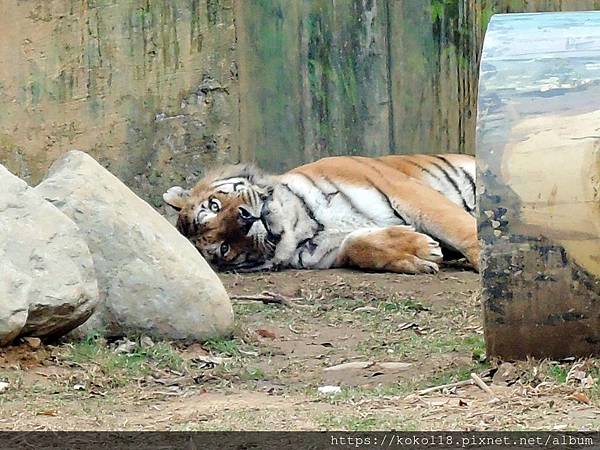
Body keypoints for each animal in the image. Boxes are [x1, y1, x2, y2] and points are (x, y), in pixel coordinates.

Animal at [163, 155, 478, 274]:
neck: (302, 223)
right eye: (224, 248)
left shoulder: (405, 190)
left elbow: (463, 230)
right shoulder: (330, 254)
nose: (245, 218)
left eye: (214, 205)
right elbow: (358, 245)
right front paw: (420, 252)